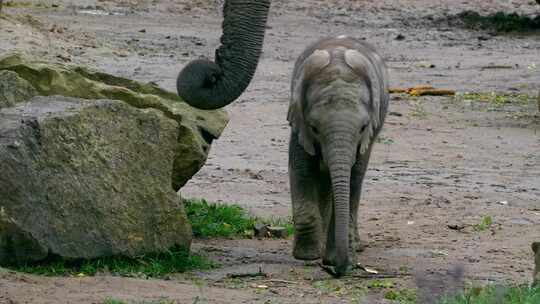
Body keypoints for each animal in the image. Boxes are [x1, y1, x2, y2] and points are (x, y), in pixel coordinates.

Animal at [286, 35, 388, 276]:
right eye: (314, 128)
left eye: (362, 128)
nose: (334, 270)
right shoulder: (298, 122)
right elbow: (301, 170)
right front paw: (307, 256)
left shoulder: (368, 135)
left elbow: (353, 176)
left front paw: (333, 257)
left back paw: (354, 244)